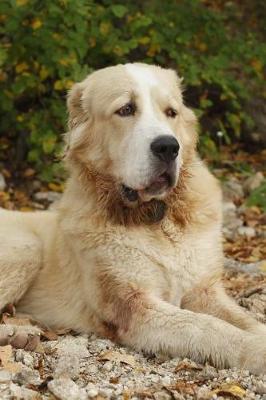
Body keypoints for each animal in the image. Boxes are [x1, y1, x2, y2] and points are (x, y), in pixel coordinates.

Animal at [0, 62, 266, 372]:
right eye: (126, 109)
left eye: (171, 112)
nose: (168, 147)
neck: (157, 218)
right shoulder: (133, 304)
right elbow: (207, 327)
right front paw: (256, 350)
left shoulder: (204, 292)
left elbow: (244, 320)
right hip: (26, 250)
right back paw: (16, 334)